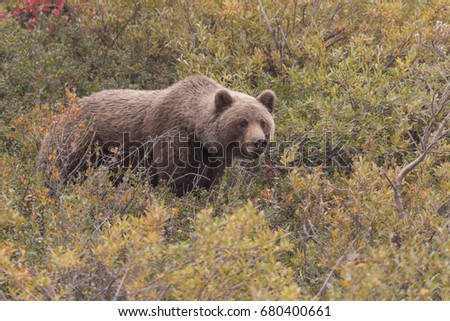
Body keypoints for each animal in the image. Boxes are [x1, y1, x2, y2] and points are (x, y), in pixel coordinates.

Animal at [38, 75, 276, 195]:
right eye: (242, 122)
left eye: (263, 122)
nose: (259, 142)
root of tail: (65, 110)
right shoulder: (173, 138)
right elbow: (176, 181)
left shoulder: (212, 160)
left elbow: (208, 183)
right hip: (78, 141)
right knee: (61, 169)